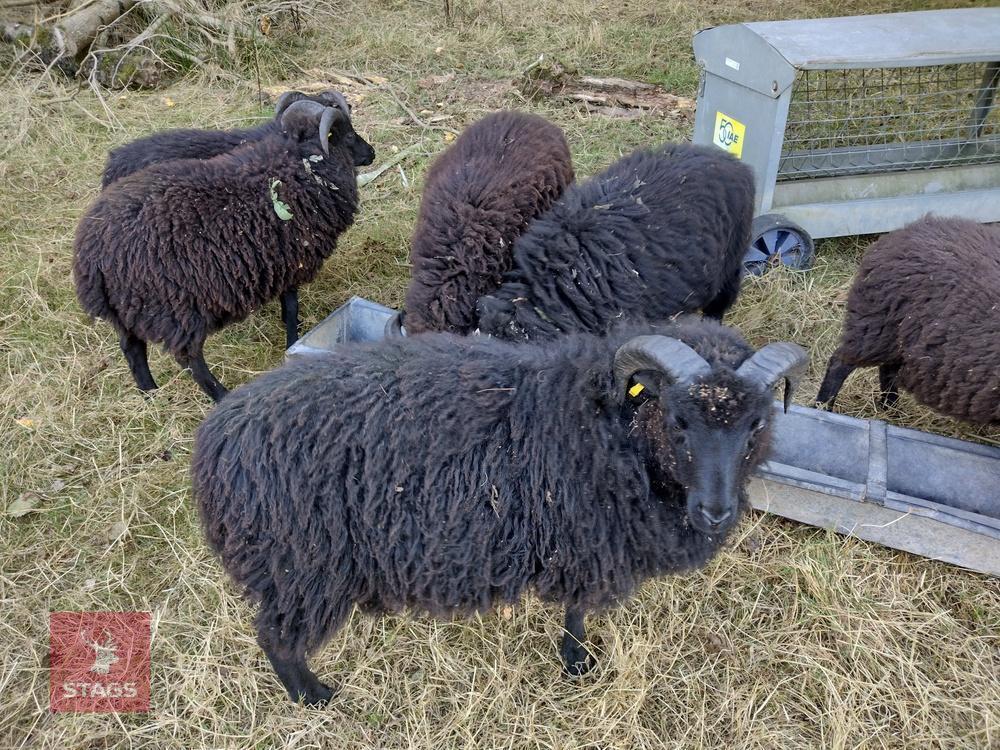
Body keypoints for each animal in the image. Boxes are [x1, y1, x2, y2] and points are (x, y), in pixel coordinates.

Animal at [192, 316, 807, 705]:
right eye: (678, 419)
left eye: (757, 424)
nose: (716, 513)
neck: (609, 429)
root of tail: (214, 446)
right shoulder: (583, 542)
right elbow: (577, 610)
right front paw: (578, 661)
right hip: (301, 567)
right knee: (276, 640)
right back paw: (314, 697)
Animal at [817, 216, 1000, 423]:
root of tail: (900, 232)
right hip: (877, 327)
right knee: (840, 363)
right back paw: (823, 407)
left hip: (898, 336)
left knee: (887, 370)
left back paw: (891, 409)